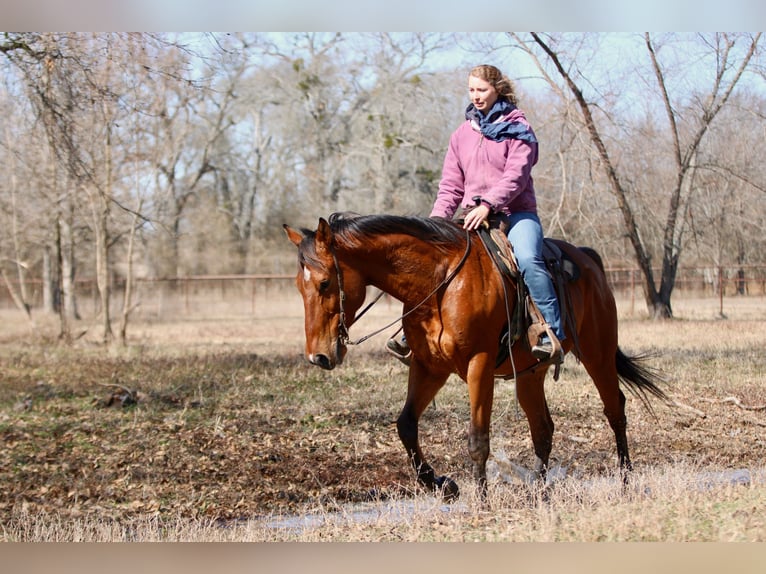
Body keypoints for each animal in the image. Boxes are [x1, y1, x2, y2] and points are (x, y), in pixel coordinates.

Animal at [284, 212, 667, 500]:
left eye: (324, 283)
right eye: (299, 287)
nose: (318, 357)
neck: (439, 282)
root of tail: (590, 260)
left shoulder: (478, 365)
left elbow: (477, 438)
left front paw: (481, 501)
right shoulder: (428, 367)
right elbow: (406, 425)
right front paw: (443, 485)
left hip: (598, 354)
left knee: (615, 410)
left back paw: (625, 482)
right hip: (531, 373)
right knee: (543, 429)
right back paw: (539, 491)